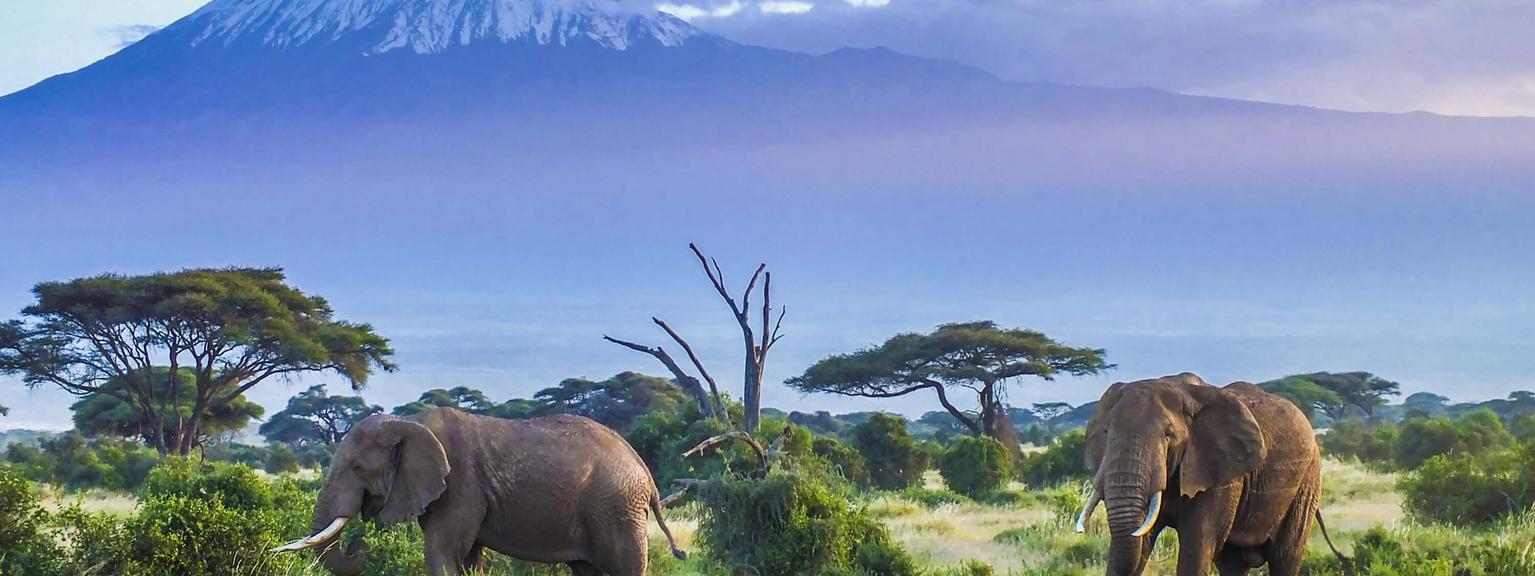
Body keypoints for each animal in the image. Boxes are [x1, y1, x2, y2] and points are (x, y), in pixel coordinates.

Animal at [272, 408, 685, 576]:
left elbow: (441, 555)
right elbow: (467, 558)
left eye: (357, 468)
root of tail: (646, 474)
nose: (360, 546)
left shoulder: (460, 486)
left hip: (617, 508)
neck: (410, 421)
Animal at [1076, 373, 1343, 576]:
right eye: (1107, 432)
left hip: (1307, 481)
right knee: (1233, 564)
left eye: (1169, 435)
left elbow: (1196, 547)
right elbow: (1140, 539)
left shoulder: (1221, 473)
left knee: (1285, 556)